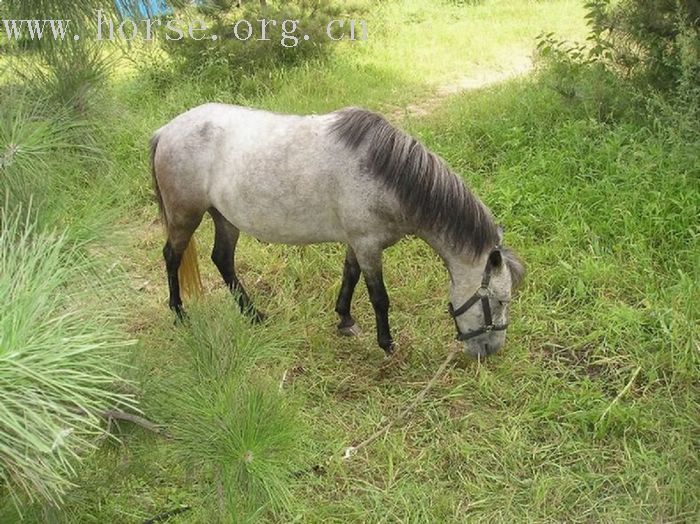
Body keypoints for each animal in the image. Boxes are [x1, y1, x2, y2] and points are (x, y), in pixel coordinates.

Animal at [153, 104, 524, 358]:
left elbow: (349, 276)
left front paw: (345, 320)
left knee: (223, 260)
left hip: (224, 217)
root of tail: (166, 130)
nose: (492, 351)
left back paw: (253, 314)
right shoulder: (368, 245)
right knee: (172, 256)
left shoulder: (356, 243)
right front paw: (387, 344)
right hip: (185, 216)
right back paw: (179, 313)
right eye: (499, 301)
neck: (386, 175)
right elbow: (379, 297)